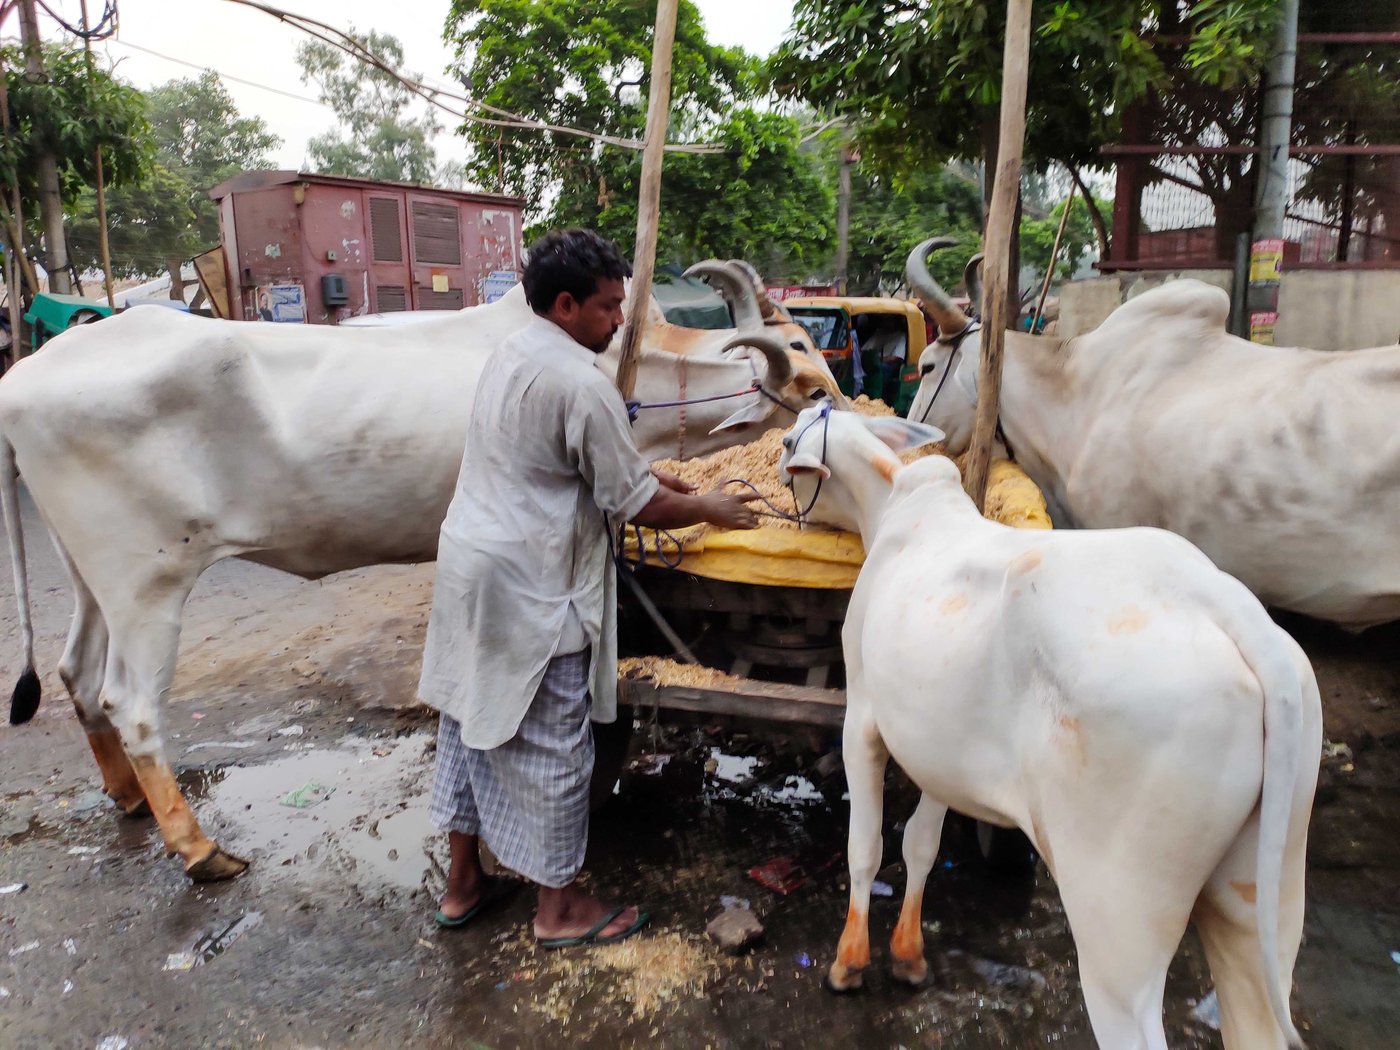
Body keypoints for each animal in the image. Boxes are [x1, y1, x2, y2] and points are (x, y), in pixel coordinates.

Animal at [0, 280, 840, 879]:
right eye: (803, 355)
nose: (836, 400)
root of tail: (23, 377)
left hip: (93, 577)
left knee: (76, 674)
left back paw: (128, 801)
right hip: (148, 584)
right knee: (130, 703)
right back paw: (200, 849)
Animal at [784, 406, 1316, 1047]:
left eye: (786, 442)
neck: (893, 505)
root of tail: (1226, 604)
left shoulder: (863, 717)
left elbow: (865, 847)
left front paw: (848, 964)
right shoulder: (938, 748)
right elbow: (921, 844)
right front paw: (909, 955)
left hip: (1118, 926)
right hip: (1264, 901)